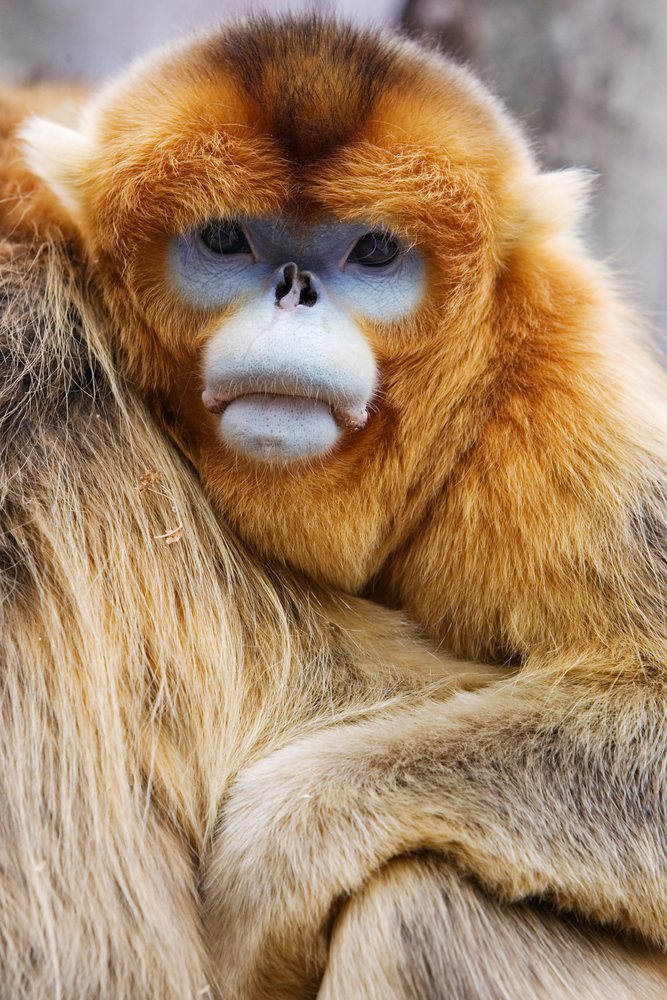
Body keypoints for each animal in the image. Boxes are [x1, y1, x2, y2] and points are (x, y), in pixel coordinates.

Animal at [13, 13, 667, 1000]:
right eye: (226, 240)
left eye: (374, 253)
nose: (295, 290)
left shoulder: (556, 394)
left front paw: (273, 853)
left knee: (419, 905)